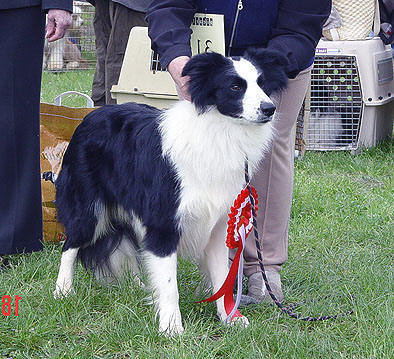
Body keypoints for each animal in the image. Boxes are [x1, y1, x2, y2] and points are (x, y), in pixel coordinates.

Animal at [53, 49, 288, 336]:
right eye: (235, 86)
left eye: (262, 84)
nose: (269, 108)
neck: (220, 131)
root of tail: (90, 115)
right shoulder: (163, 222)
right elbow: (169, 283)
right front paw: (171, 327)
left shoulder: (220, 224)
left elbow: (222, 275)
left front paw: (230, 318)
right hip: (88, 207)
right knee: (71, 244)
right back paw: (63, 290)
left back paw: (137, 286)